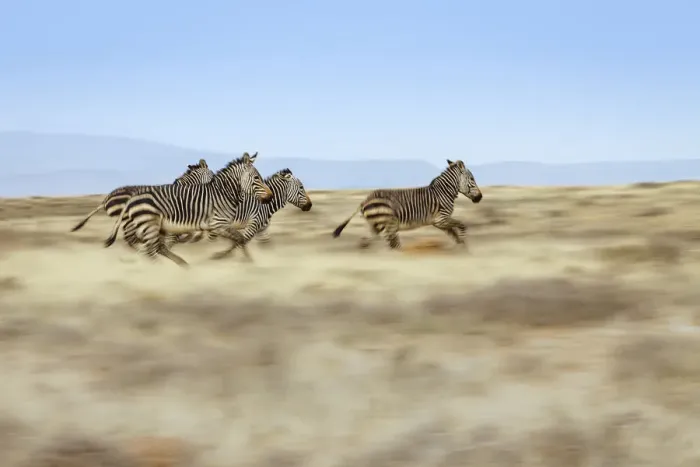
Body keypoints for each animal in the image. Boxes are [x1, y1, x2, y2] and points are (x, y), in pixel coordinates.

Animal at [103, 152, 273, 267]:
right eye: (256, 178)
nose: (271, 197)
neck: (222, 194)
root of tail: (132, 198)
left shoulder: (221, 226)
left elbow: (238, 238)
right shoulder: (218, 224)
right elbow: (240, 238)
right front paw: (247, 260)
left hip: (153, 227)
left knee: (153, 247)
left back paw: (181, 265)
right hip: (148, 226)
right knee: (148, 249)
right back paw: (159, 270)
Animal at [331, 159, 482, 250]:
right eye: (472, 179)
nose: (480, 197)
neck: (443, 193)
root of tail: (365, 200)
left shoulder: (439, 223)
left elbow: (454, 234)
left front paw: (462, 249)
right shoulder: (441, 219)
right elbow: (462, 226)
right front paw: (464, 245)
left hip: (375, 226)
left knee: (365, 242)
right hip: (389, 226)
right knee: (393, 245)